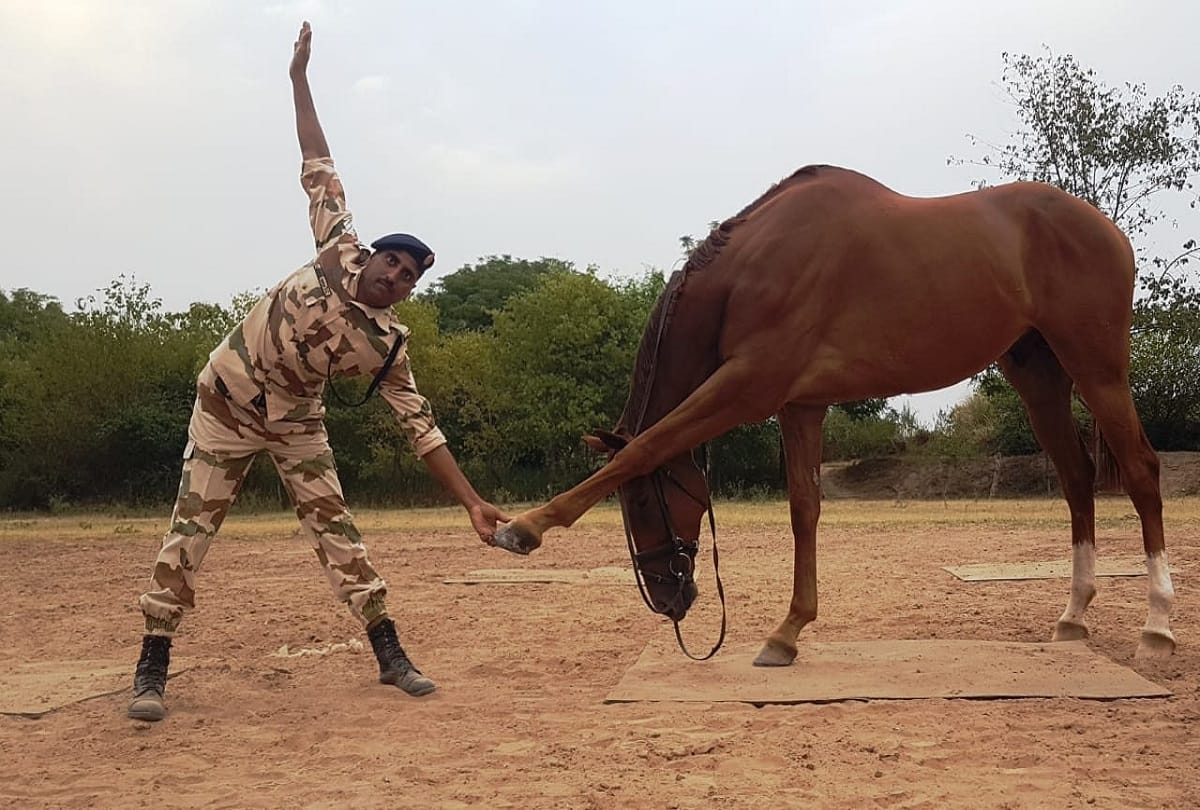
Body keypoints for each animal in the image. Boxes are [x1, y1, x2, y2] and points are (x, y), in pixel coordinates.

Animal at [490, 164, 1177, 664]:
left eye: (640, 500)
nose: (669, 598)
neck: (752, 270)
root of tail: (1106, 228)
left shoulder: (748, 386)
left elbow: (646, 446)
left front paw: (523, 528)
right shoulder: (800, 406)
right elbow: (804, 509)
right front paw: (787, 632)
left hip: (1098, 369)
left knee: (1141, 471)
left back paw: (1157, 626)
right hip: (1039, 378)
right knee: (1077, 480)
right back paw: (1073, 618)